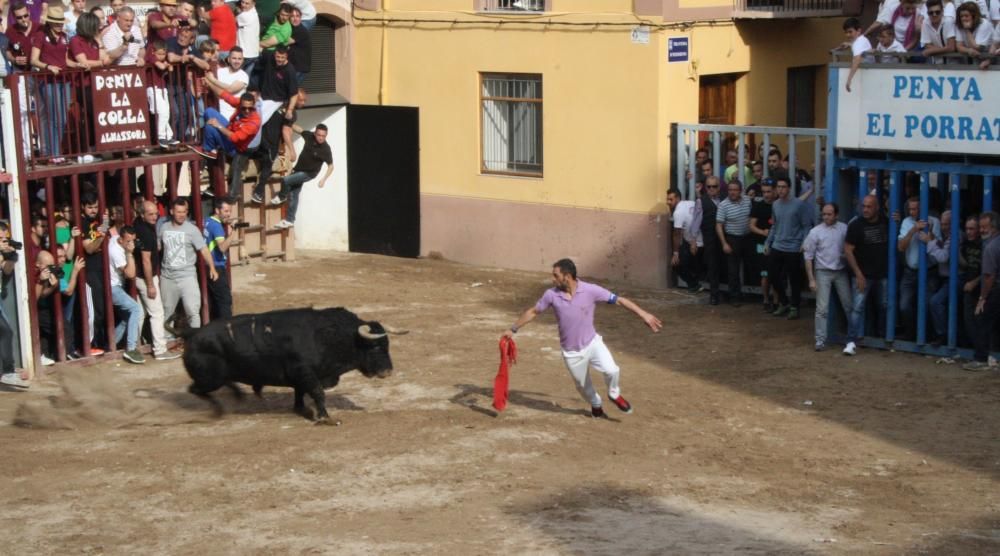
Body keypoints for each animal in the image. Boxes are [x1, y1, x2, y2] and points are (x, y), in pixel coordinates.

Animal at [168, 306, 406, 424]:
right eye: (375, 347)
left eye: (387, 345)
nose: (388, 372)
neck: (329, 335)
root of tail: (191, 332)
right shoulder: (306, 373)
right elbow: (318, 393)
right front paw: (326, 418)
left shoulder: (301, 376)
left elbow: (300, 393)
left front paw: (301, 409)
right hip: (209, 378)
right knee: (195, 390)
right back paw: (218, 410)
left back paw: (237, 395)